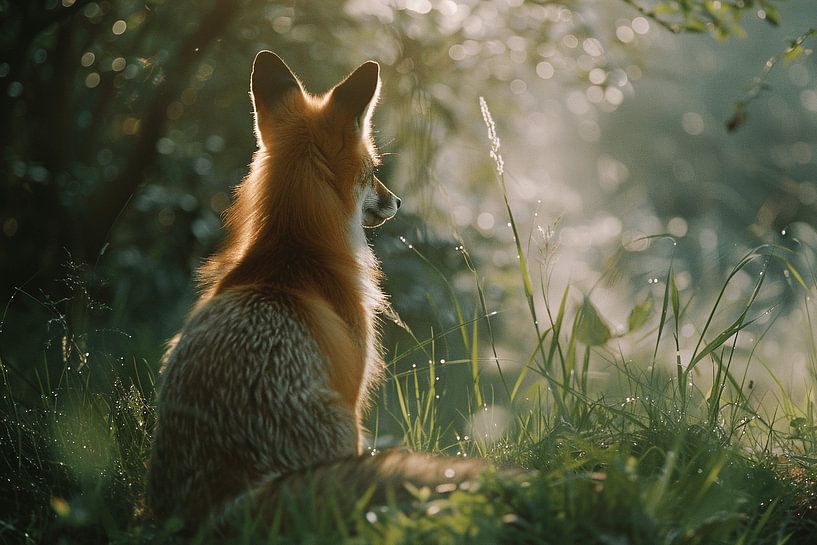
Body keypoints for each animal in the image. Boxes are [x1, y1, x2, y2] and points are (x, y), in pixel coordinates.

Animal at [145, 51, 484, 530]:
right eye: (374, 170)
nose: (398, 202)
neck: (292, 254)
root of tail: (224, 497)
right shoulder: (355, 391)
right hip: (343, 427)